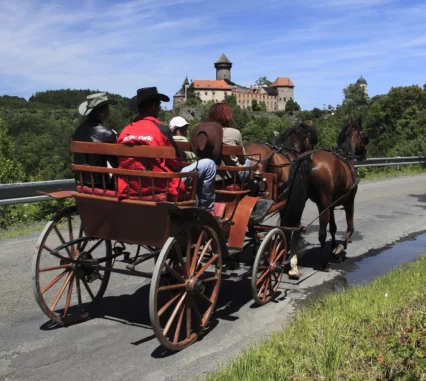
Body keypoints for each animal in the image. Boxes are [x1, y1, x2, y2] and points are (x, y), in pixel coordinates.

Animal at [282, 121, 368, 276]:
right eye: (363, 136)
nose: (364, 153)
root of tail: (307, 158)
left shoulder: (331, 205)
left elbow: (333, 228)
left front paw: (334, 250)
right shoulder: (349, 202)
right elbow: (350, 228)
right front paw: (339, 248)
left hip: (301, 200)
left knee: (294, 227)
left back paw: (293, 265)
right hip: (323, 204)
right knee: (321, 233)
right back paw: (324, 263)